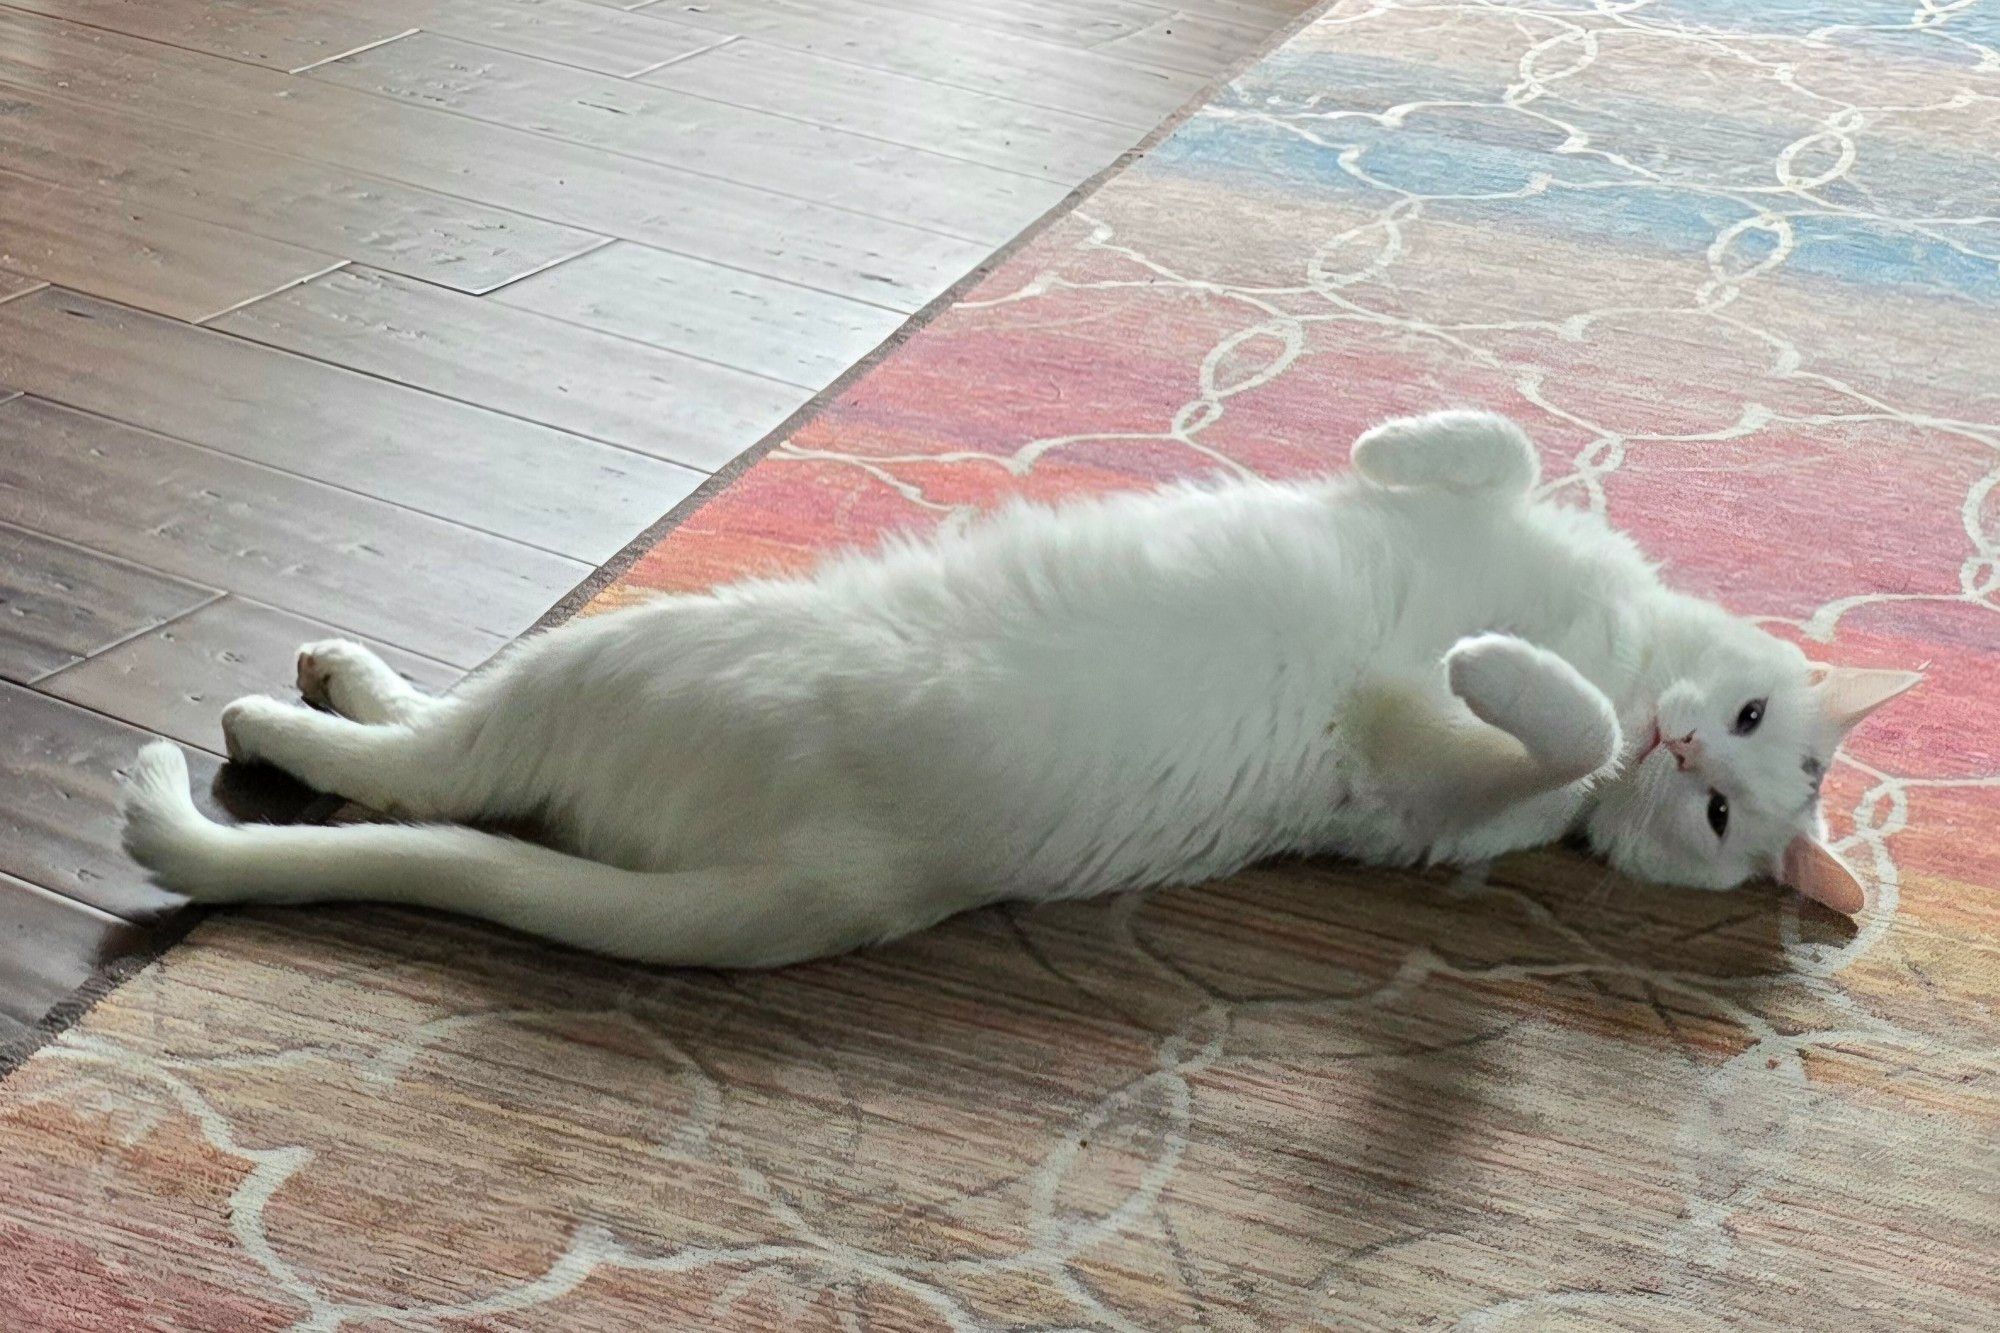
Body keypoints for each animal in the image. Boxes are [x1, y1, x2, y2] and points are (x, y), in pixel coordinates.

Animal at [121, 410, 1904, 960]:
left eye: (1722, 810)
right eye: (1744, 736)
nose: (1682, 744)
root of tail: (847, 881)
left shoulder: (1463, 801)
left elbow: (1547, 723)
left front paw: (1498, 668)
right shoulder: (1516, 533)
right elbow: (1497, 442)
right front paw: (1416, 465)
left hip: (652, 645)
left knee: (438, 763)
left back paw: (291, 708)